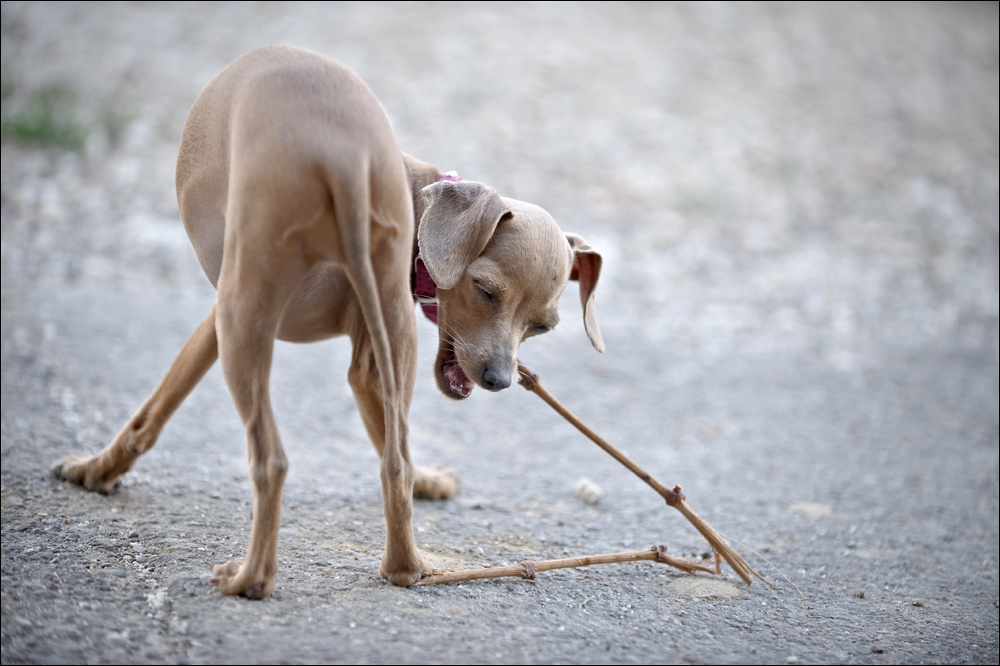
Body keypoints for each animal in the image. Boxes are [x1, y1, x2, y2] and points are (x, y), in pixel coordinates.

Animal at [52, 46, 600, 596]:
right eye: (485, 290)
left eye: (540, 326)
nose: (499, 380)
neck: (417, 188)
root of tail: (345, 155)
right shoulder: (357, 357)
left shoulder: (225, 316)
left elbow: (156, 407)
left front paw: (94, 470)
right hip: (381, 326)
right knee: (394, 464)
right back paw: (405, 566)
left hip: (244, 311)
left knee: (270, 462)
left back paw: (248, 578)